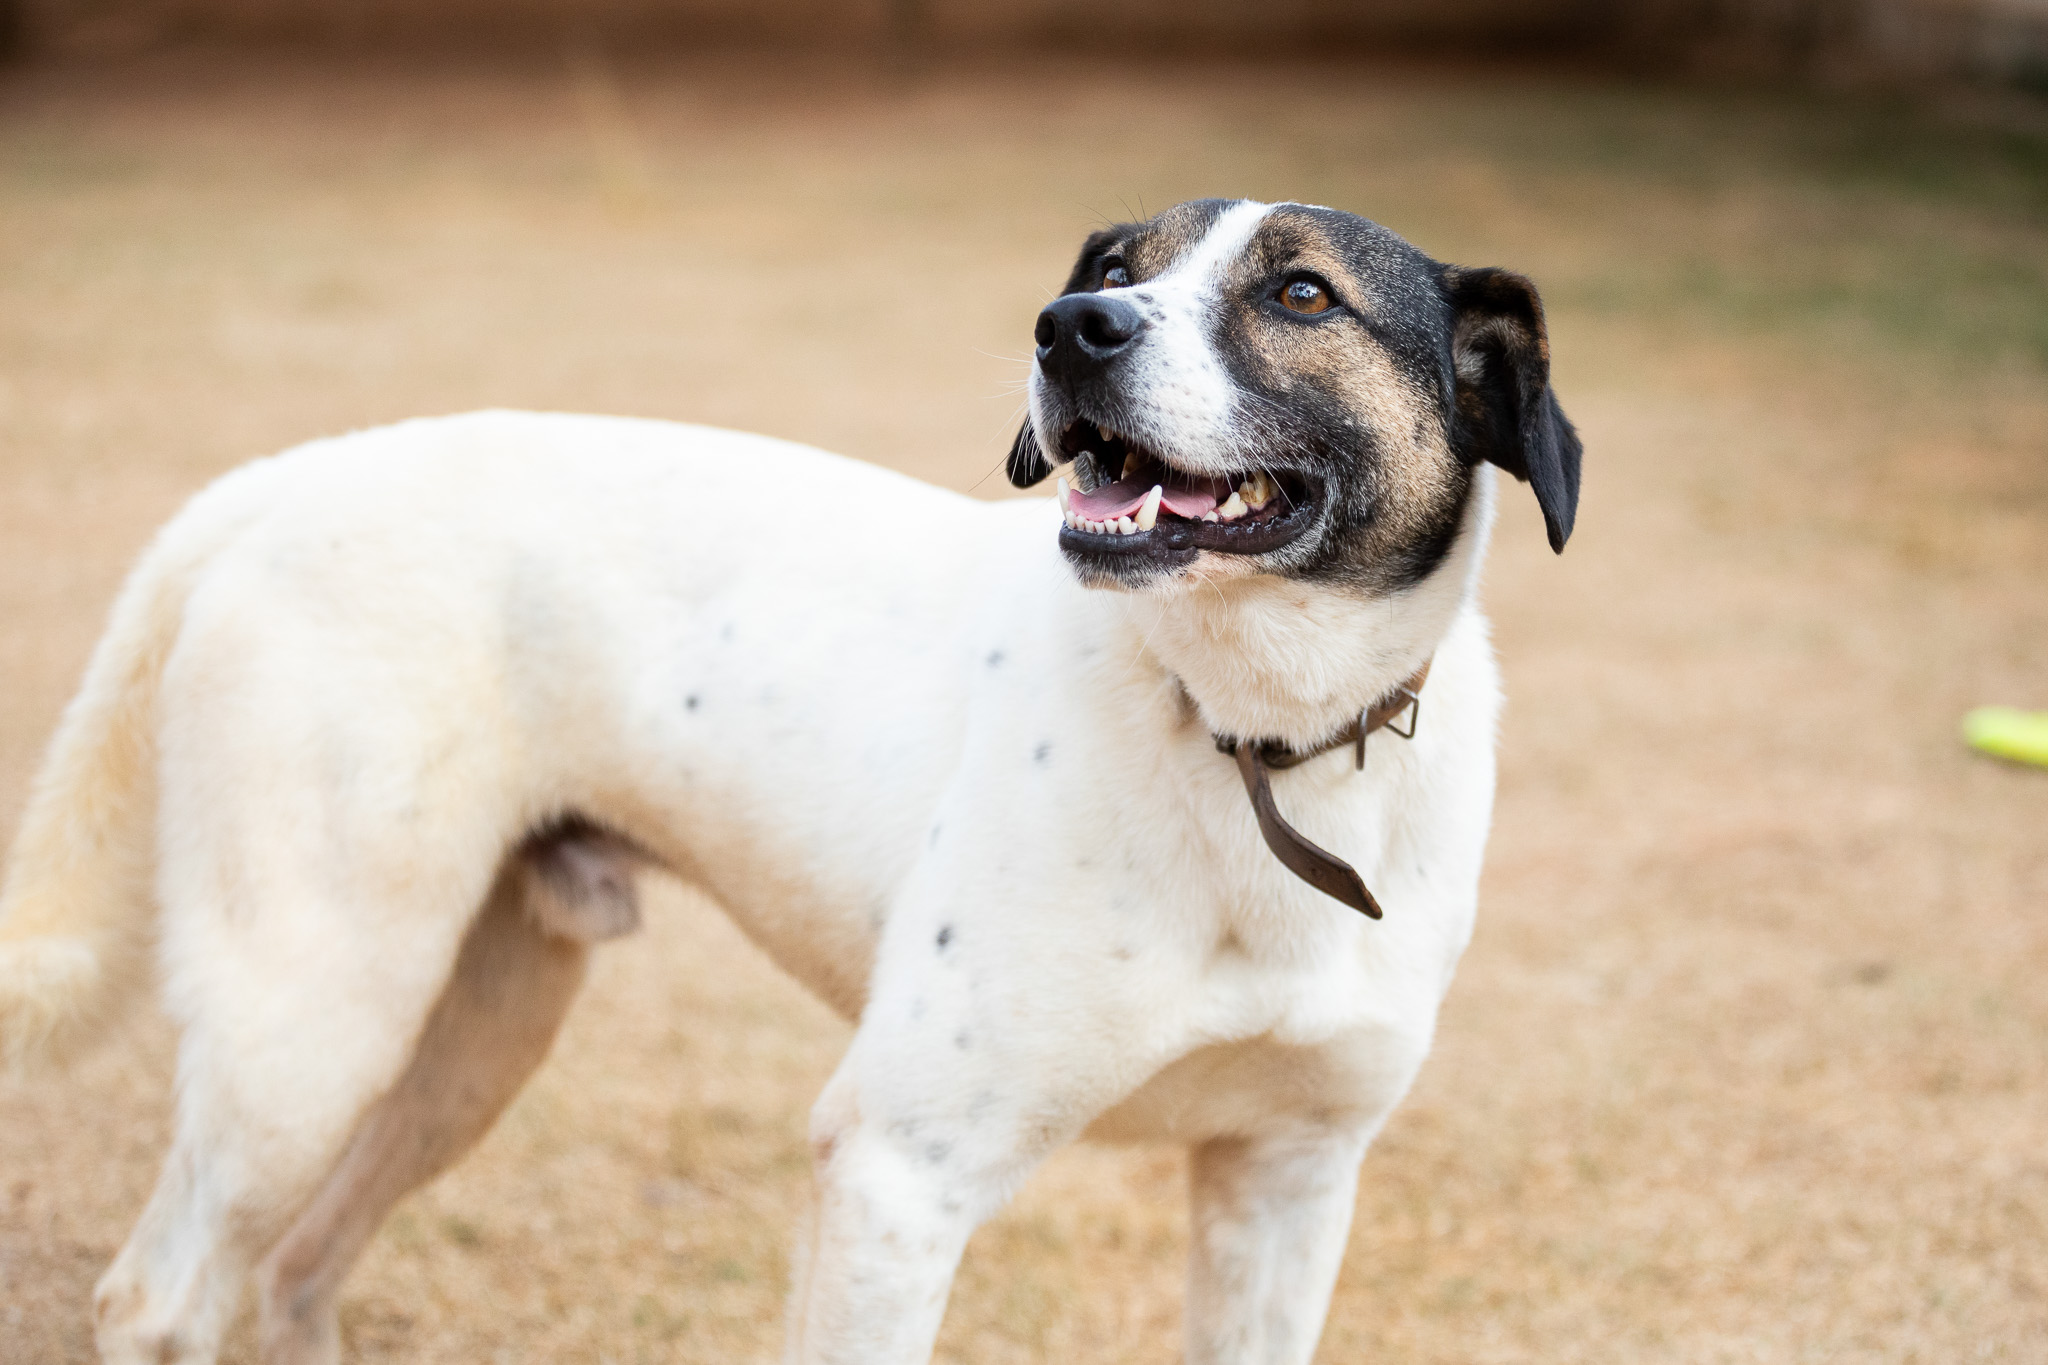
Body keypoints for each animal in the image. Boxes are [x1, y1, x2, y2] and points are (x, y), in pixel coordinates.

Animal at [0, 194, 1581, 1365]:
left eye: (1303, 295)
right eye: (1114, 272)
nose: (1069, 328)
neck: (1249, 739)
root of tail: (276, 479)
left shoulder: (1286, 1186)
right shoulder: (896, 1172)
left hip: (469, 1037)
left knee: (296, 1268)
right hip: (312, 1023)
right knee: (162, 1298)